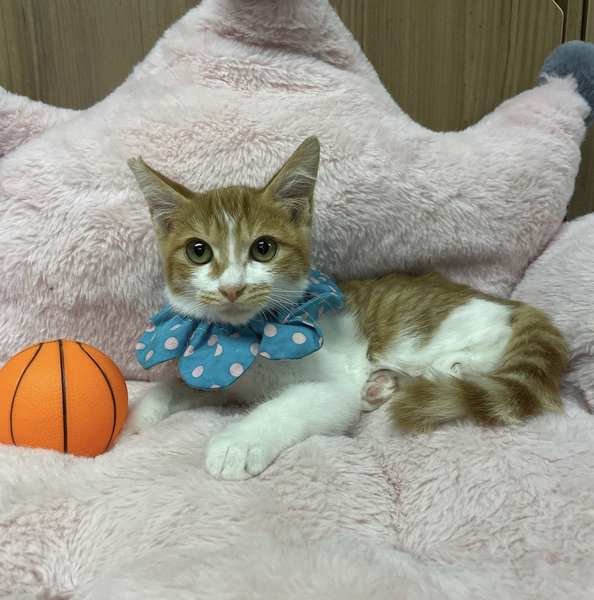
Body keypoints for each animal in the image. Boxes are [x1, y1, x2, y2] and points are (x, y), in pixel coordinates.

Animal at [125, 136, 568, 480]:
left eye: (263, 248)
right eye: (198, 251)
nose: (232, 288)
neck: (241, 340)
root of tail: (509, 301)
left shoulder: (332, 385)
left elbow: (295, 404)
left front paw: (238, 442)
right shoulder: (214, 371)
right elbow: (175, 386)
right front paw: (137, 416)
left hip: (426, 336)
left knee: (488, 343)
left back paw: (446, 368)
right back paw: (378, 387)